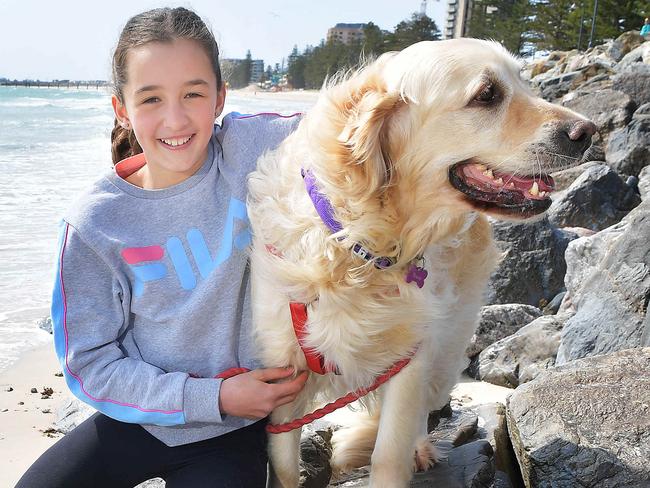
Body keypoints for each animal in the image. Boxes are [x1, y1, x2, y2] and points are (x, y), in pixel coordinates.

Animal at [246, 39, 596, 488]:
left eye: (524, 83)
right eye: (487, 94)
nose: (588, 132)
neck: (363, 247)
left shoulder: (410, 357)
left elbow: (390, 453)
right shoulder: (283, 366)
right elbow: (285, 464)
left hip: (444, 358)